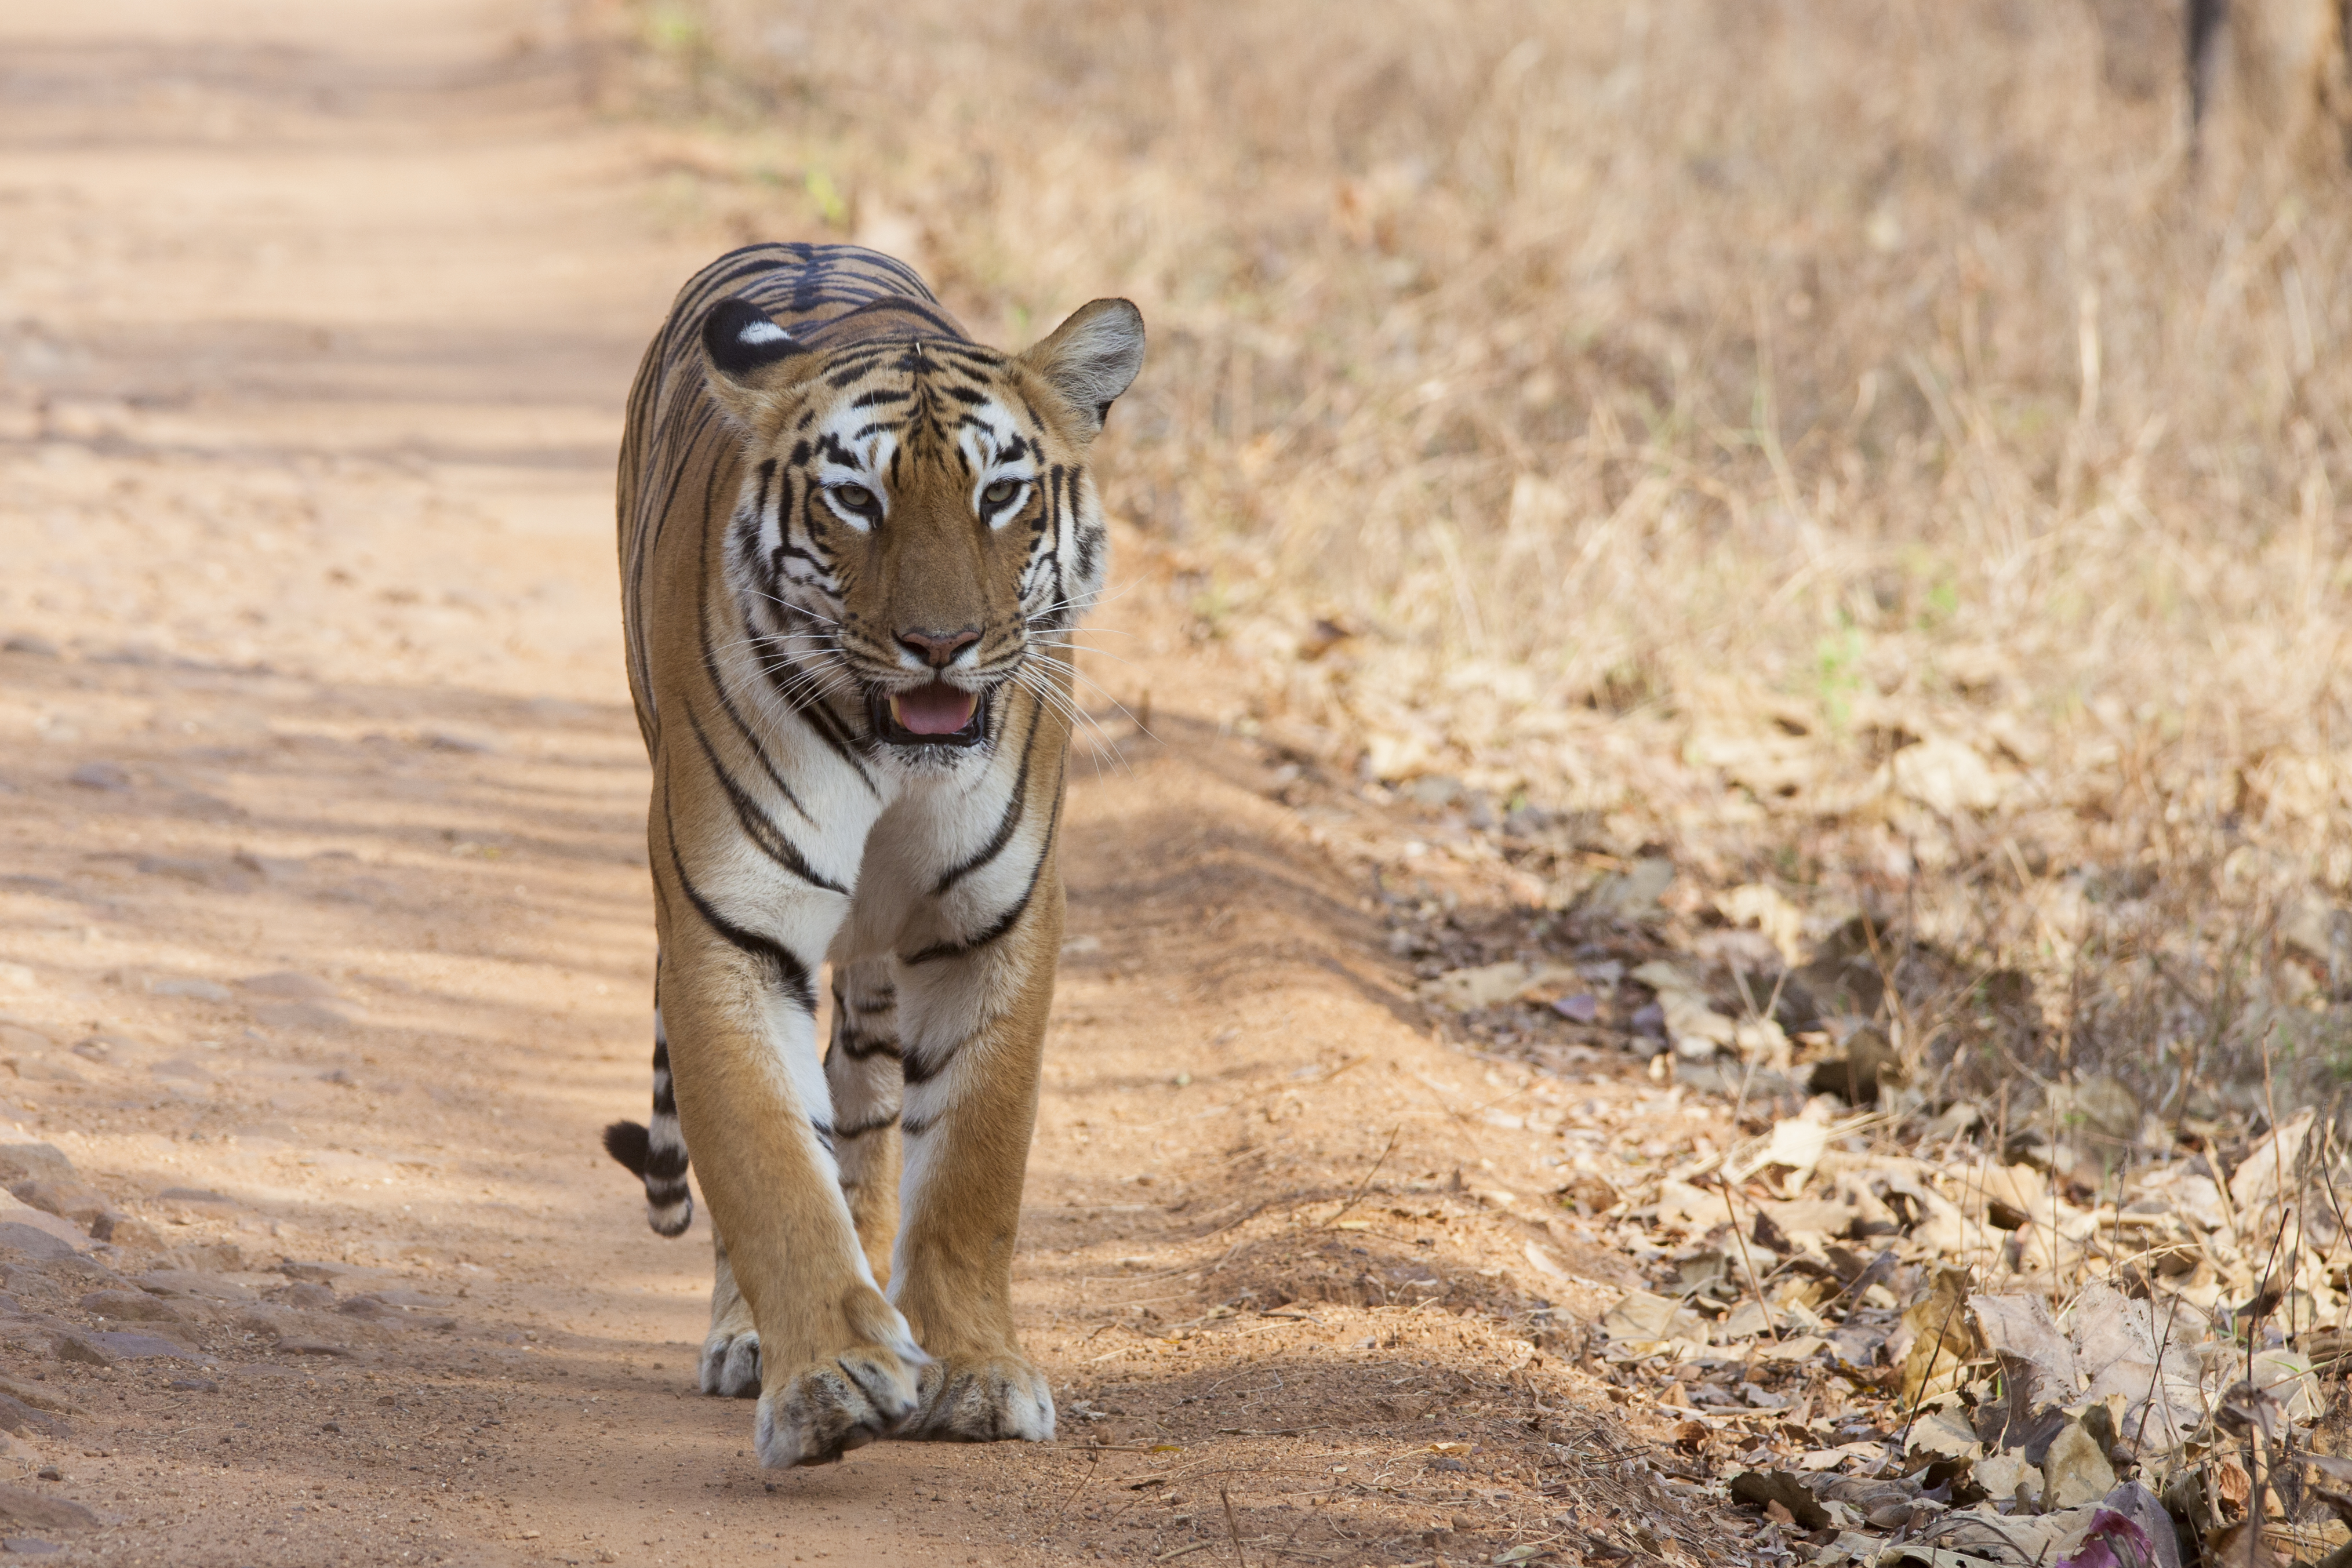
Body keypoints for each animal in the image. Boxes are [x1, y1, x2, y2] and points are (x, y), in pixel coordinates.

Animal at [598, 242, 1144, 1467]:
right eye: (857, 498)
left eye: (1000, 495)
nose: (940, 645)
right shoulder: (729, 928)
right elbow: (766, 1164)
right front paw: (828, 1379)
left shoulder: (992, 925)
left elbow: (972, 1168)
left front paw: (976, 1372)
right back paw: (752, 1340)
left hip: (883, 975)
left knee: (867, 1113)